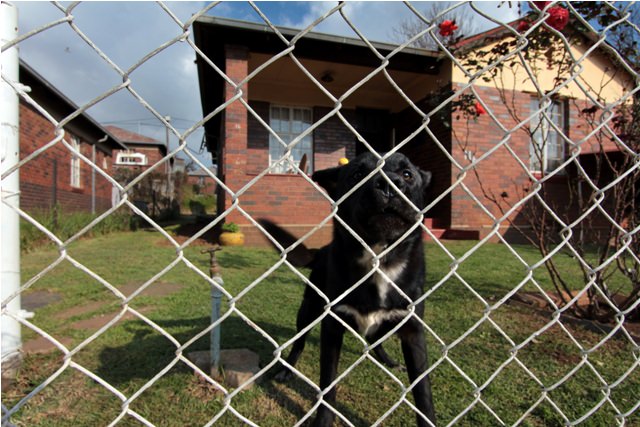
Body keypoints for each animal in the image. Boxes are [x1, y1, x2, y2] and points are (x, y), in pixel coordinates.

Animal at [261, 152, 436, 426]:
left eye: (407, 174)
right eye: (357, 174)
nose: (389, 185)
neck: (379, 259)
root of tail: (320, 251)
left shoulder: (412, 329)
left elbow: (423, 390)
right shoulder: (332, 327)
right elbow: (327, 383)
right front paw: (323, 421)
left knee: (375, 339)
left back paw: (387, 360)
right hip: (308, 310)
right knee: (299, 342)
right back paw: (286, 369)